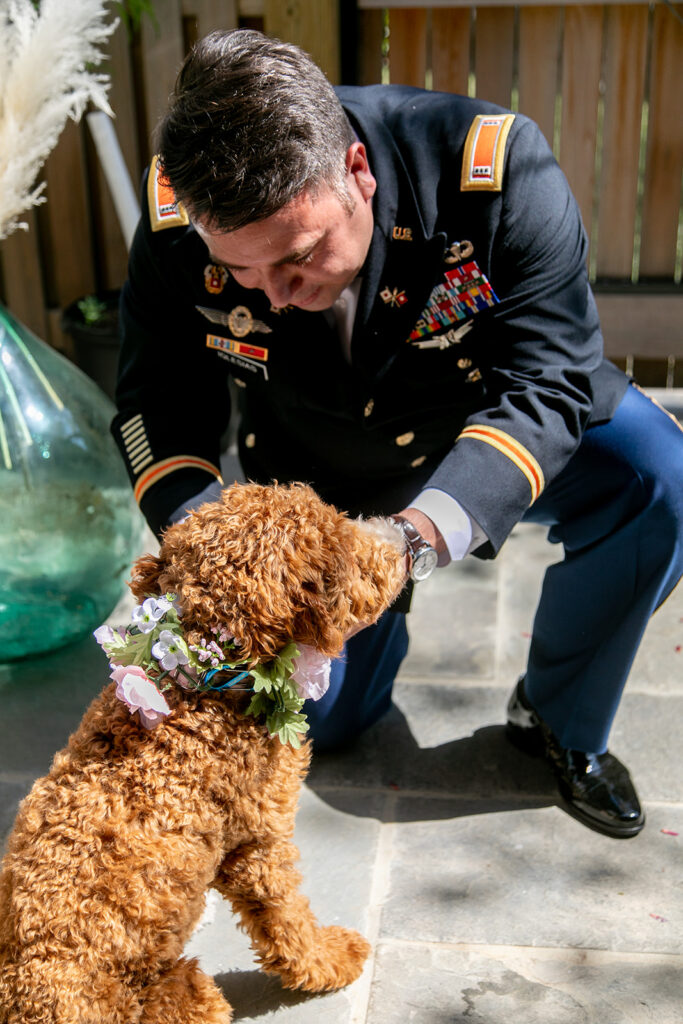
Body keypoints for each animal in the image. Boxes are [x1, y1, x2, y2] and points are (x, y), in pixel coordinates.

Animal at [0, 481, 405, 1024]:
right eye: (344, 546)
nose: (401, 542)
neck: (203, 686)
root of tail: (25, 1003)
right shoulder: (260, 839)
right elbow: (290, 922)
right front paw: (331, 960)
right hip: (182, 990)